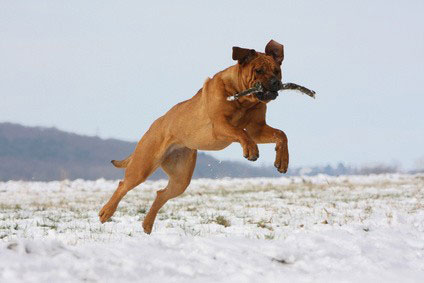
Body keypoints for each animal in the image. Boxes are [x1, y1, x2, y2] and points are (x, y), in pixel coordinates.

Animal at [99, 40, 290, 235]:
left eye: (277, 70)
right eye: (258, 70)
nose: (276, 82)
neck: (243, 100)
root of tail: (154, 125)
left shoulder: (257, 129)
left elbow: (281, 134)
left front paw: (282, 161)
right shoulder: (220, 125)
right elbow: (241, 132)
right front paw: (251, 149)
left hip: (181, 177)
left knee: (161, 194)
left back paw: (147, 225)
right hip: (142, 165)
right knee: (123, 185)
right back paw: (106, 212)